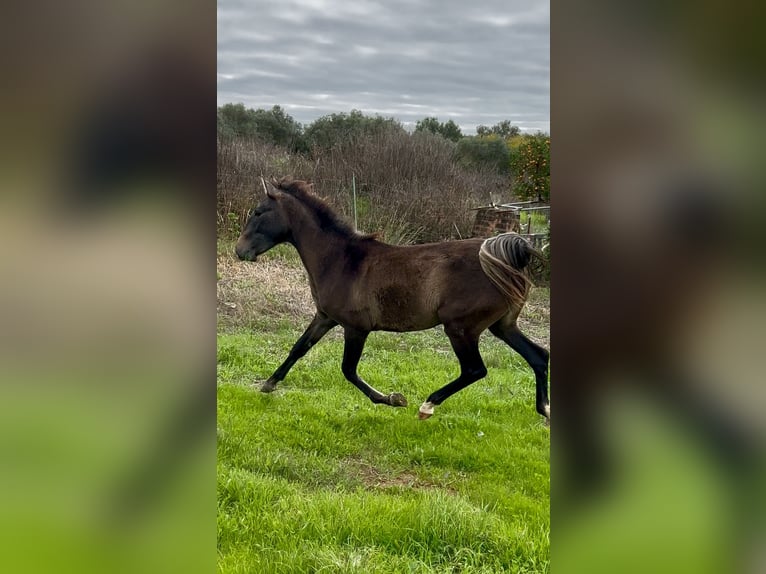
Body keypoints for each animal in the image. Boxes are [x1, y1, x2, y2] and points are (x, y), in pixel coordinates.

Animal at [236, 177, 552, 424]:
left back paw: (427, 405)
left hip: (461, 328)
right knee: (538, 356)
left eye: (258, 211)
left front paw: (393, 398)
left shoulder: (356, 328)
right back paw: (545, 411)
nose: (240, 250)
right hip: (503, 326)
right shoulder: (325, 317)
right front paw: (268, 384)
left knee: (475, 369)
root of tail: (511, 260)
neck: (340, 260)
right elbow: (299, 348)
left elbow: (348, 370)